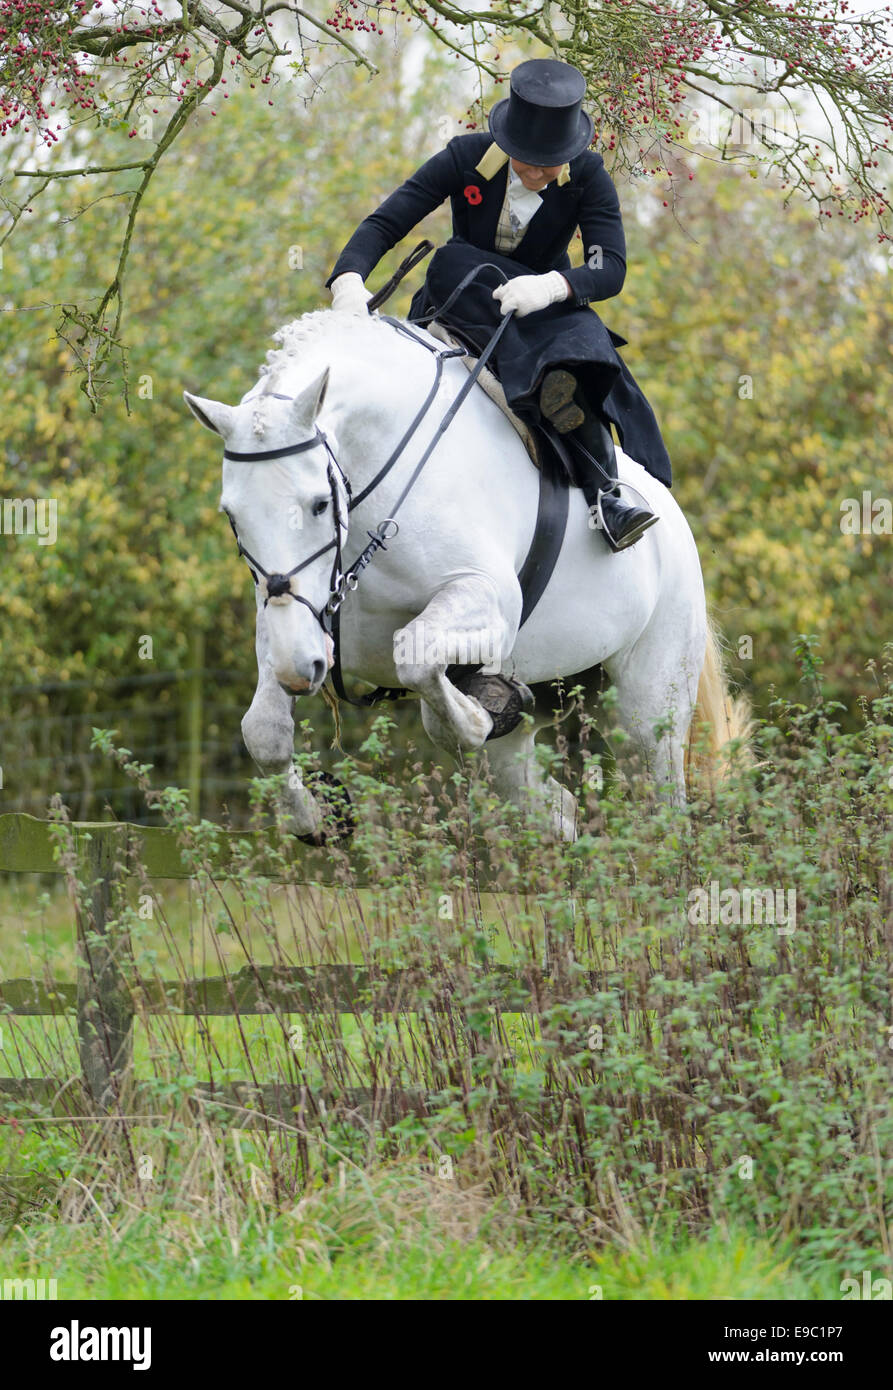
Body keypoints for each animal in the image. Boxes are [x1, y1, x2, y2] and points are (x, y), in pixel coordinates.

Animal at [183, 311, 739, 839]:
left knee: (658, 800)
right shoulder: (288, 623)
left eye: (319, 504)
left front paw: (483, 713)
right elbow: (264, 731)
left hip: (650, 703)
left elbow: (419, 666)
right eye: (232, 515)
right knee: (554, 811)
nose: (302, 673)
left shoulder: (485, 598)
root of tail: (672, 518)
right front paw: (316, 815)